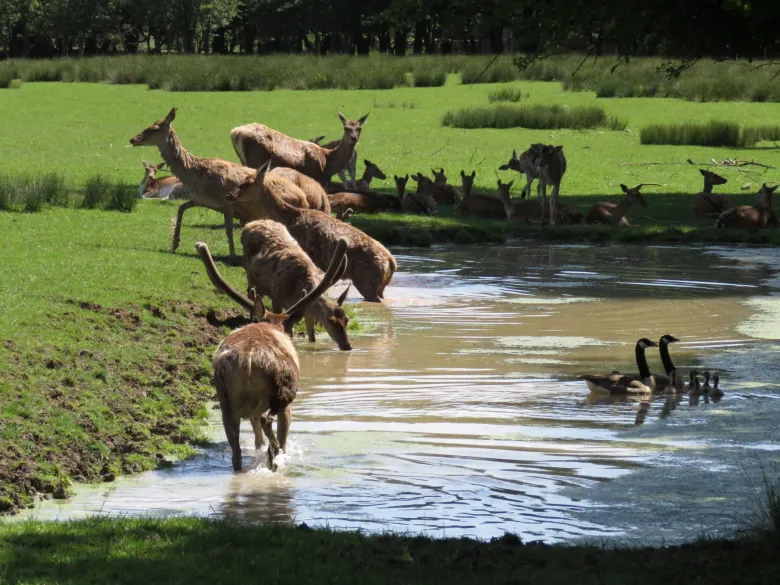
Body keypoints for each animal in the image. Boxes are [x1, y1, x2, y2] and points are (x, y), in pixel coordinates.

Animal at [126, 107, 306, 262]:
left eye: (154, 128)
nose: (133, 139)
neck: (195, 177)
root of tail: (304, 199)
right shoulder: (200, 199)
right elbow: (181, 208)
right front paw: (174, 244)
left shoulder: (226, 201)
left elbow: (228, 229)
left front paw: (232, 254)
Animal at [197, 237, 348, 470]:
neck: (273, 324)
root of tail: (247, 362)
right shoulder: (288, 404)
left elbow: (256, 438)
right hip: (282, 393)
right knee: (269, 422)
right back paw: (274, 456)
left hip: (225, 402)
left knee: (237, 451)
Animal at [227, 171, 396, 302]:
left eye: (247, 182)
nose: (230, 195)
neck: (291, 217)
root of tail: (391, 262)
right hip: (379, 286)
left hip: (367, 281)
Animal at [232, 111, 368, 185]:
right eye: (346, 128)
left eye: (359, 128)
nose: (354, 138)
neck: (328, 163)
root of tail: (235, 133)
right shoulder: (316, 176)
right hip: (256, 159)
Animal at [242, 218, 352, 346]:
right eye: (331, 321)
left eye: (347, 319)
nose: (347, 345)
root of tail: (251, 223)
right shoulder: (277, 297)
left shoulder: (307, 312)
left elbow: (312, 337)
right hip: (248, 271)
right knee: (249, 291)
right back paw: (251, 318)